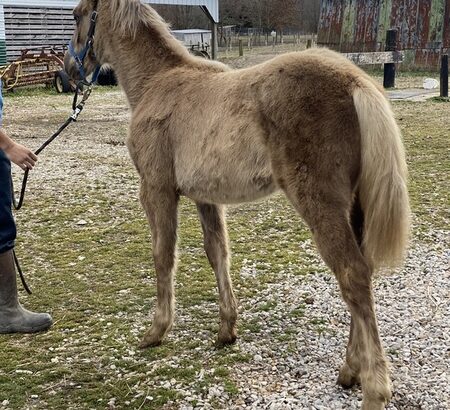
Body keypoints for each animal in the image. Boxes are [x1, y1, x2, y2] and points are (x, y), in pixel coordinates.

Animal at [64, 0, 412, 406]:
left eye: (76, 15)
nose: (68, 70)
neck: (158, 82)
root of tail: (356, 81)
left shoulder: (156, 189)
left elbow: (163, 255)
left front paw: (156, 330)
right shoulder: (205, 197)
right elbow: (218, 253)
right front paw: (226, 329)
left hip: (321, 204)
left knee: (353, 275)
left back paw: (374, 388)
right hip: (355, 208)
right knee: (363, 272)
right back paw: (349, 370)